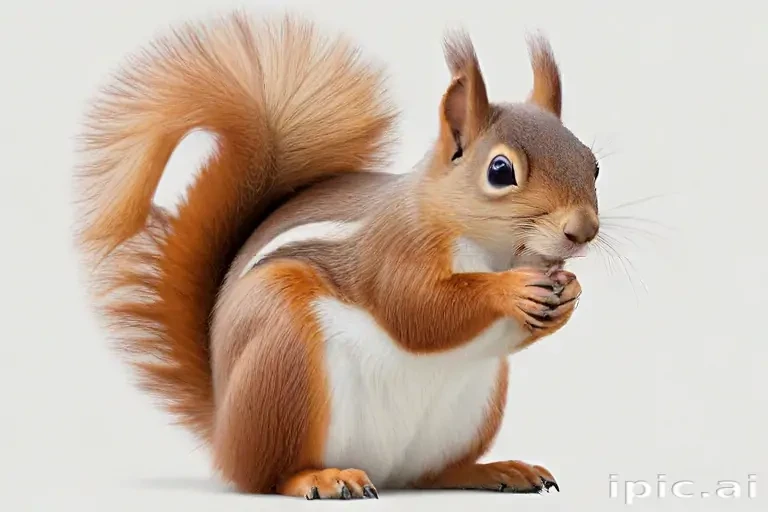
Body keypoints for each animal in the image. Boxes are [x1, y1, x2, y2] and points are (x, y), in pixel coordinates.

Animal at [74, 10, 600, 500]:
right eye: (499, 170)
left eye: (592, 163)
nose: (583, 231)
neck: (493, 251)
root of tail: (224, 428)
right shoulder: (393, 249)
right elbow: (418, 311)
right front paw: (511, 290)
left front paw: (569, 293)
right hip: (280, 360)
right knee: (268, 475)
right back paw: (323, 477)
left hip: (472, 410)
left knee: (432, 473)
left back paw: (496, 470)